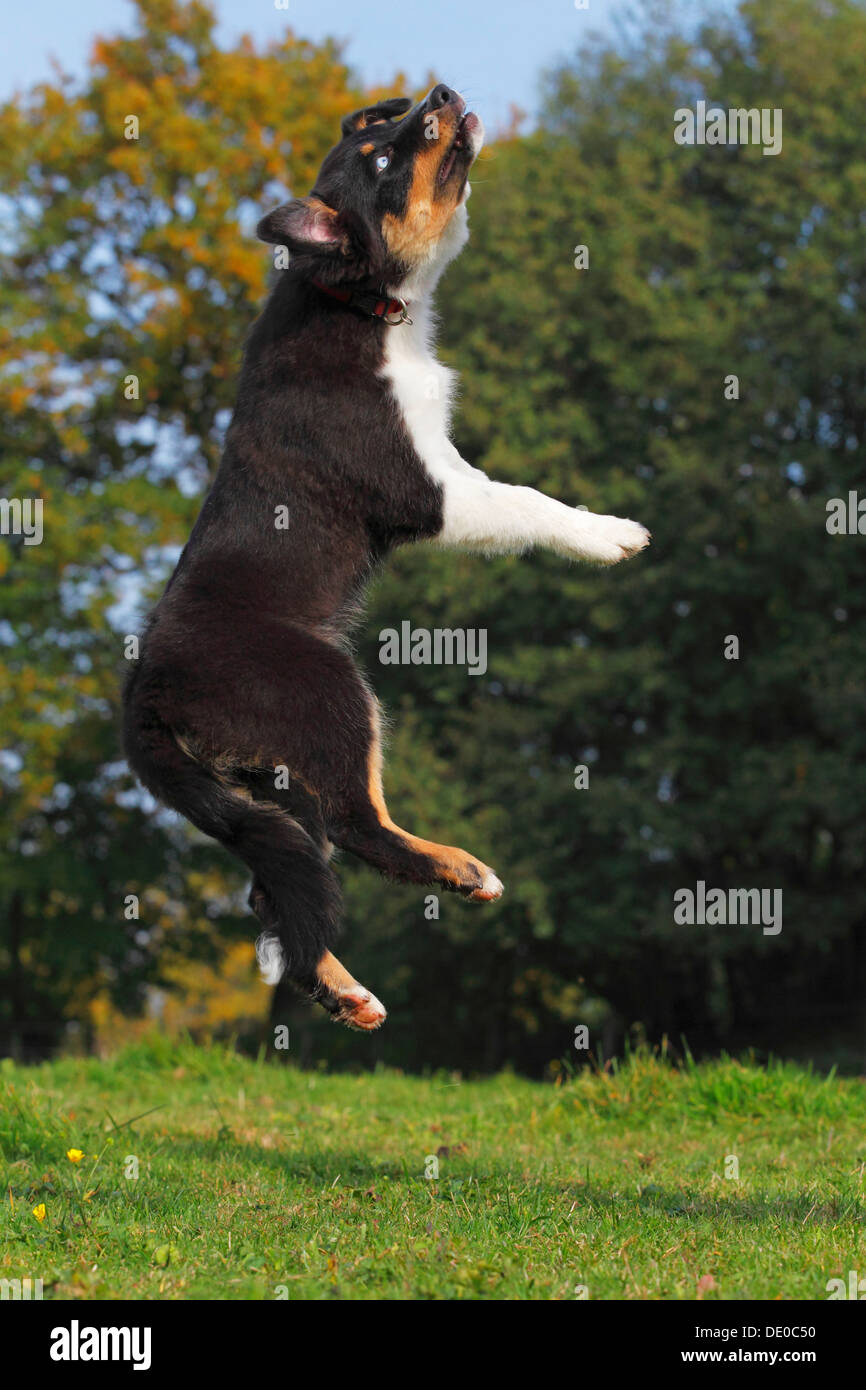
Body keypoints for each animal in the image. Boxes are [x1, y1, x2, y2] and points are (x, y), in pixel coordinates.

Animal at [123, 78, 650, 1034]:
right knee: (357, 830)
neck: (360, 304)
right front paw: (611, 533)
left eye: (385, 126)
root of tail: (144, 691)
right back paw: (463, 872)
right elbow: (527, 501)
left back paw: (345, 993)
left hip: (263, 777)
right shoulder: (425, 485)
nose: (439, 91)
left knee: (282, 883)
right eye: (381, 161)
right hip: (328, 695)